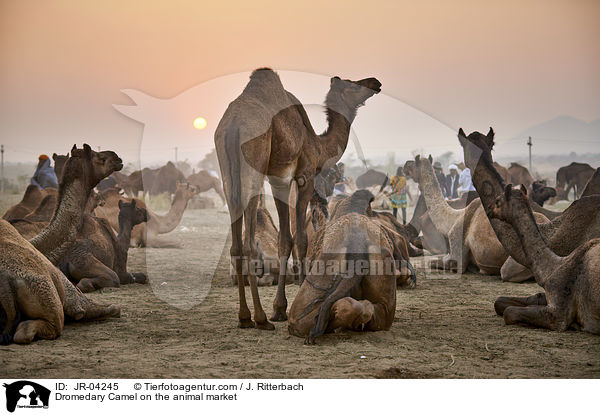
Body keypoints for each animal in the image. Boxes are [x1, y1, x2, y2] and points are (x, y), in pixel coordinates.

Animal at [213, 68, 378, 330]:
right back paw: (259, 319)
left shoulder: (278, 181)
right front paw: (296, 303)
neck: (318, 144)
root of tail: (232, 126)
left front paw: (279, 309)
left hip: (227, 176)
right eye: (353, 84)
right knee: (248, 244)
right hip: (252, 168)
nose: (375, 83)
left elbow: (285, 240)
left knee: (236, 244)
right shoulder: (304, 176)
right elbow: (301, 239)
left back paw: (244, 317)